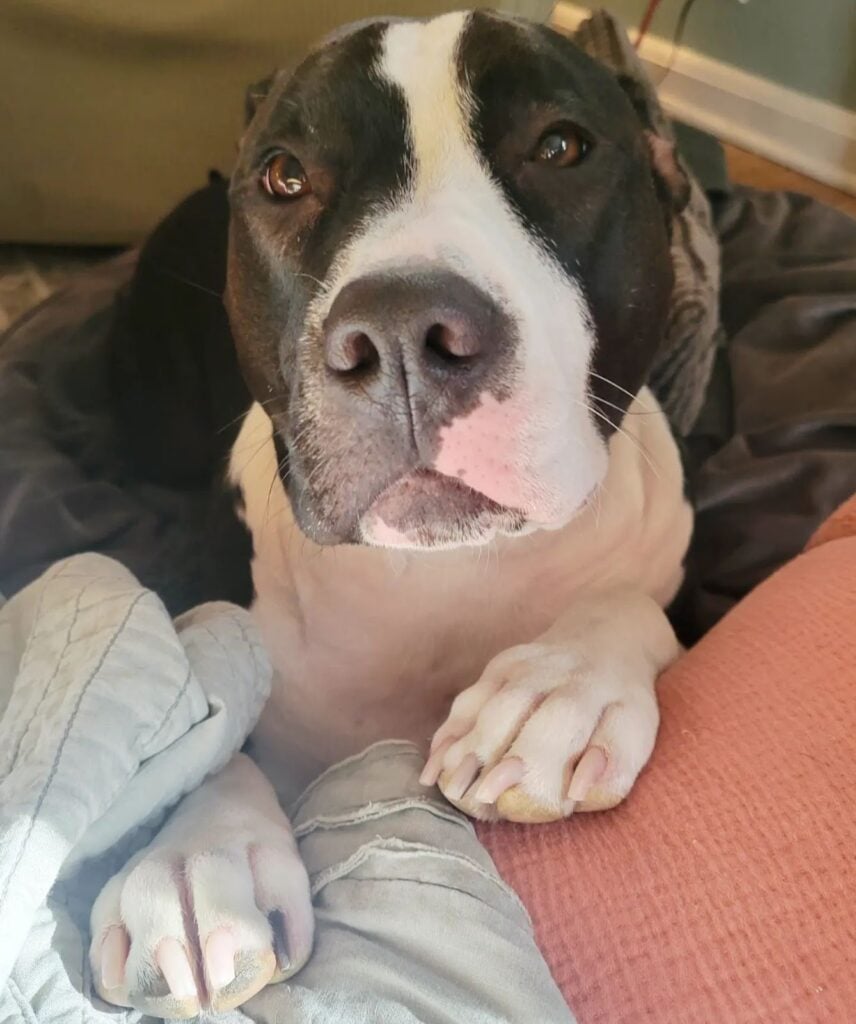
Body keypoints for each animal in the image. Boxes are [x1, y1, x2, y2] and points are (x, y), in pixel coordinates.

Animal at [93, 12, 696, 1019]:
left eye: (561, 146)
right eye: (284, 175)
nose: (406, 330)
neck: (442, 575)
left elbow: (631, 607)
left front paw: (557, 689)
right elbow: (212, 705)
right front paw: (194, 855)